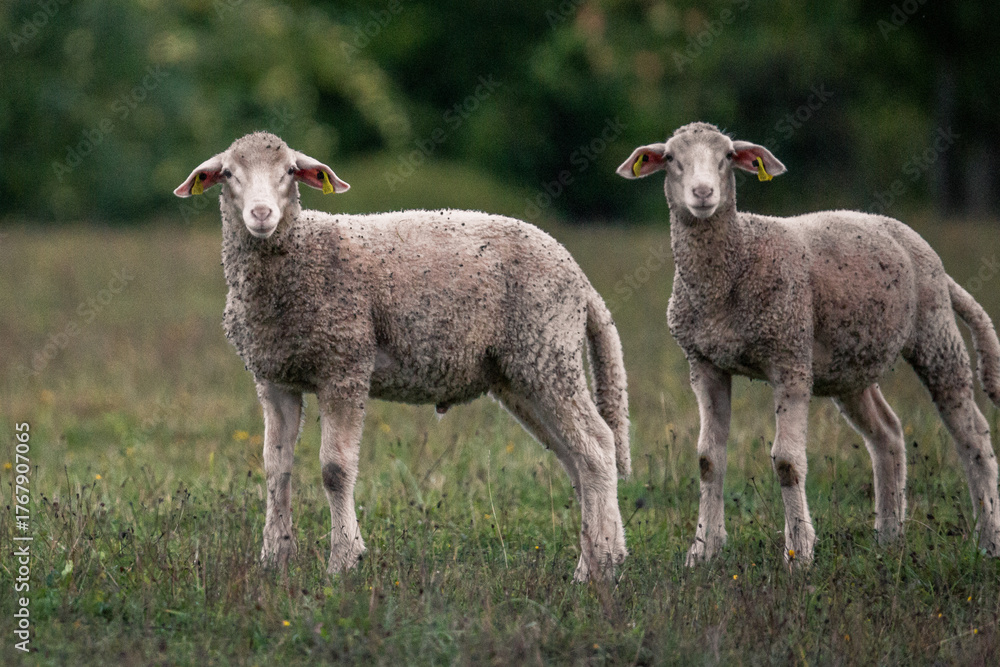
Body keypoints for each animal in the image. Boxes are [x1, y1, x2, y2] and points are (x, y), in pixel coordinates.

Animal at [173, 131, 630, 581]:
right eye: (228, 173)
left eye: (289, 171)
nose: (262, 213)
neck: (300, 254)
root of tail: (581, 280)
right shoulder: (273, 377)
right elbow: (276, 467)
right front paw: (275, 558)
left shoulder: (345, 364)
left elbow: (334, 470)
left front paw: (344, 560)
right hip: (520, 373)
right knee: (576, 459)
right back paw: (595, 557)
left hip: (548, 351)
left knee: (598, 446)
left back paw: (601, 566)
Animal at [616, 121, 1000, 565]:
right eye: (671, 158)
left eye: (728, 156)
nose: (703, 192)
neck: (733, 265)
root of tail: (914, 240)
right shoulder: (705, 363)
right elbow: (708, 460)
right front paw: (702, 552)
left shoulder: (790, 357)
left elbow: (787, 462)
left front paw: (798, 553)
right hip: (849, 366)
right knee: (887, 434)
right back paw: (888, 538)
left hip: (934, 330)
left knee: (973, 434)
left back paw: (988, 539)